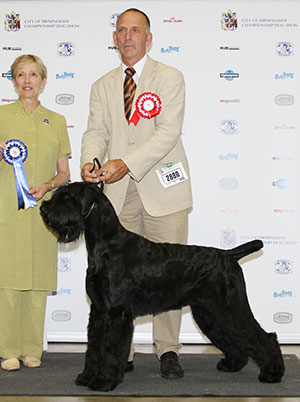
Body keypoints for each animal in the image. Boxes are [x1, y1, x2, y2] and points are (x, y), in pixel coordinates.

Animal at [39, 182, 284, 390]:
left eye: (68, 197)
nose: (43, 209)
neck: (107, 244)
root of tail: (228, 255)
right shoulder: (99, 311)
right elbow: (94, 346)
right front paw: (87, 377)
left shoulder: (116, 313)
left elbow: (110, 349)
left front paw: (104, 381)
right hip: (209, 312)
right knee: (233, 338)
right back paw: (233, 363)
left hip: (230, 308)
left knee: (264, 336)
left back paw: (272, 373)